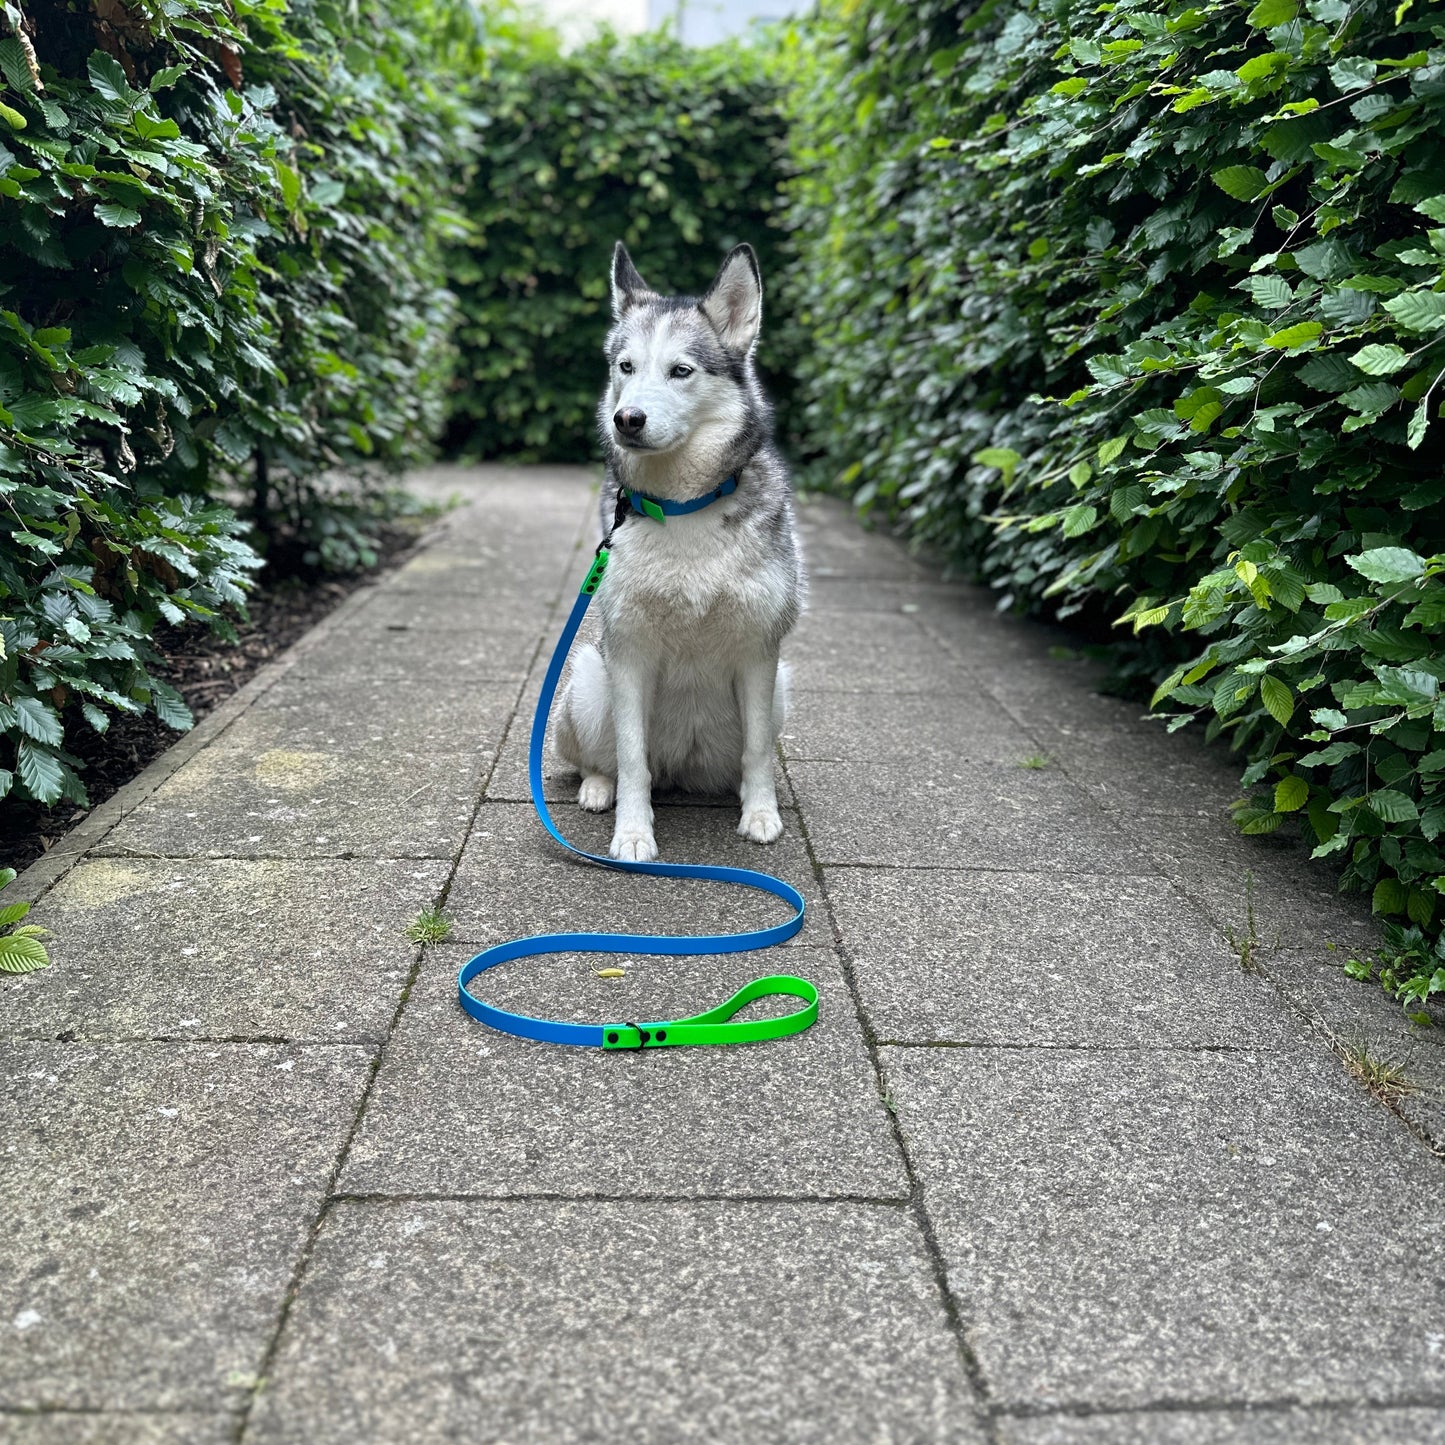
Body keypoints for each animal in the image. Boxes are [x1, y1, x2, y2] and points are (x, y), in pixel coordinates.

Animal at [549, 242, 809, 861]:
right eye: (625, 367)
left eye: (681, 371)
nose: (626, 419)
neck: (684, 507)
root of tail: (684, 773)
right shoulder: (629, 652)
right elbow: (631, 758)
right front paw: (633, 833)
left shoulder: (761, 651)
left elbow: (759, 751)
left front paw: (761, 813)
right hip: (590, 674)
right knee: (603, 761)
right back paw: (598, 789)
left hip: (781, 690)